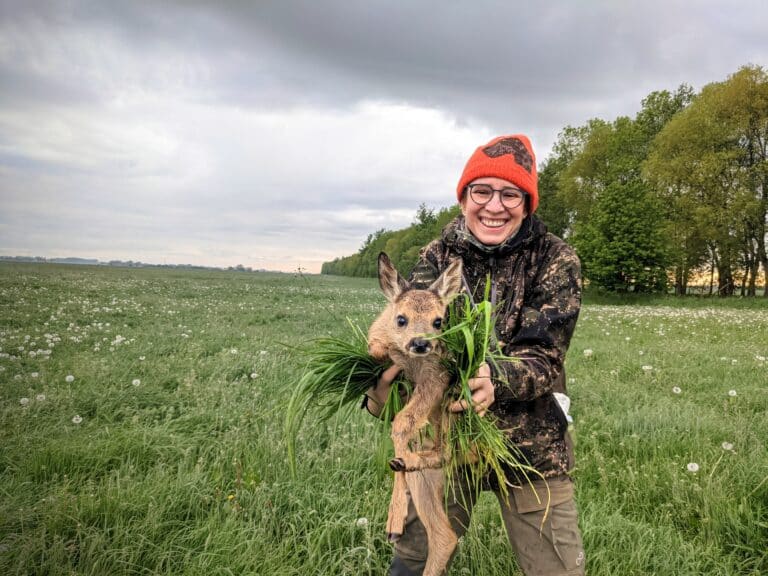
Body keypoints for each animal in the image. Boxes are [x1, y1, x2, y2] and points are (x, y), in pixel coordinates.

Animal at [367, 252, 464, 576]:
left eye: (439, 321)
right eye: (401, 319)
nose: (421, 343)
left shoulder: (437, 376)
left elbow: (401, 422)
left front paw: (394, 518)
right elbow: (375, 349)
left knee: (444, 450)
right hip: (427, 481)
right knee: (445, 535)